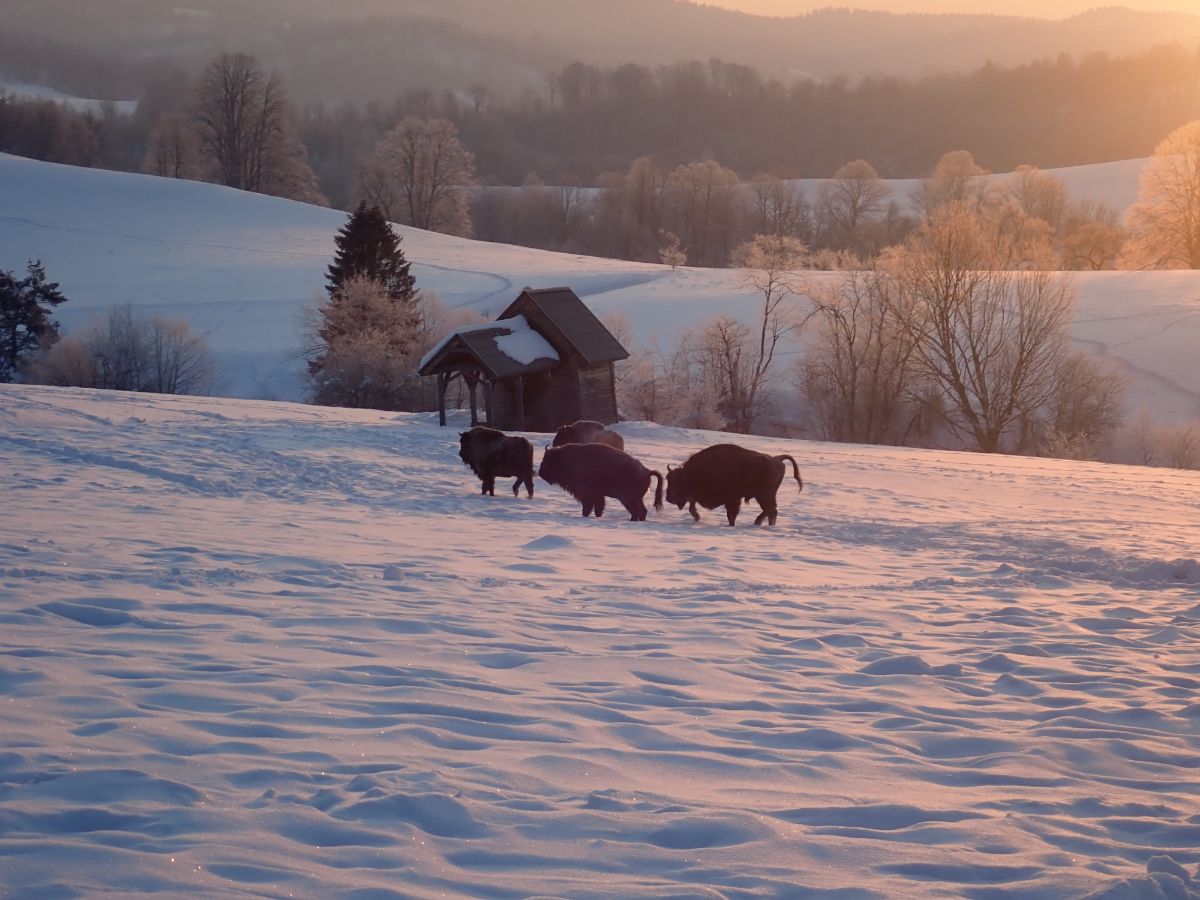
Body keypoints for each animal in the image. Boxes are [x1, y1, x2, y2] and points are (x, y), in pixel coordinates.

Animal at [667, 446, 806, 528]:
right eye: (668, 479)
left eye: (677, 482)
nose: (668, 498)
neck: (693, 473)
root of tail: (777, 459)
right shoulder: (696, 496)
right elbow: (692, 506)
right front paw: (697, 517)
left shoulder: (732, 499)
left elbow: (731, 514)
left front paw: (731, 525)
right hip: (763, 496)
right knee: (772, 510)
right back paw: (763, 524)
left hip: (764, 495)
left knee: (771, 509)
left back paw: (758, 522)